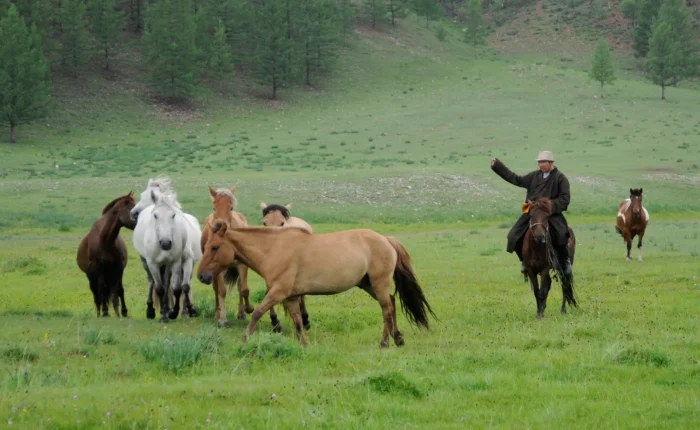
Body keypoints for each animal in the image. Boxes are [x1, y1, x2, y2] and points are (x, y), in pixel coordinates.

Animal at [131, 177, 201, 319]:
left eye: (148, 196)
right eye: (141, 195)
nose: (133, 213)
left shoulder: (185, 261)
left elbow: (184, 286)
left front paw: (188, 310)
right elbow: (164, 286)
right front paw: (171, 311)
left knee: (173, 283)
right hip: (147, 261)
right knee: (153, 282)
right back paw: (153, 310)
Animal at [197, 222, 437, 347]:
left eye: (215, 247)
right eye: (206, 246)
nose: (201, 276)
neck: (274, 248)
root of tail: (386, 239)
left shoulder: (278, 292)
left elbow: (257, 312)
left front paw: (244, 339)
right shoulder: (291, 296)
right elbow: (297, 320)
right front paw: (304, 343)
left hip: (378, 283)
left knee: (386, 309)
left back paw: (385, 342)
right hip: (368, 285)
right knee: (392, 304)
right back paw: (398, 338)